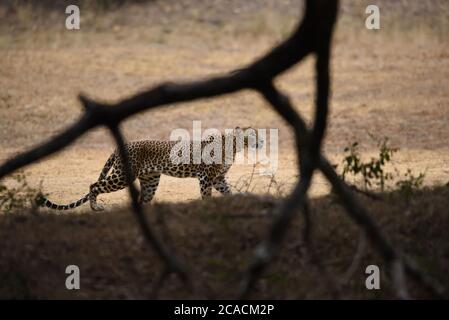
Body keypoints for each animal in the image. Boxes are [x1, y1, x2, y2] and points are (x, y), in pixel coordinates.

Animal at [40, 126, 262, 211]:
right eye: (253, 136)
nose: (261, 141)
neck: (234, 146)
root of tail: (122, 146)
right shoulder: (206, 177)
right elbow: (206, 195)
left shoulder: (218, 178)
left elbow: (228, 191)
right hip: (122, 176)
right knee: (94, 184)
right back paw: (95, 207)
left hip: (150, 180)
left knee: (143, 198)